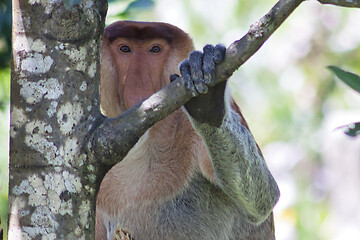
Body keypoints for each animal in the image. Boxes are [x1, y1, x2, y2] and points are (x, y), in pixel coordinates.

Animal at [95, 21, 278, 240]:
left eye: (154, 49)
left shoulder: (189, 127)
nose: (138, 84)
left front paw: (207, 100)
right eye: (125, 49)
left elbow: (263, 197)